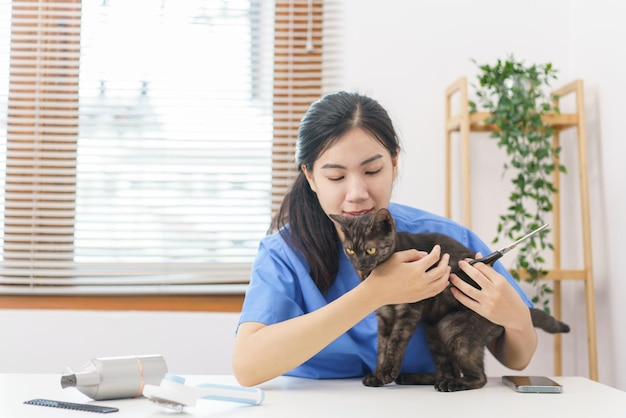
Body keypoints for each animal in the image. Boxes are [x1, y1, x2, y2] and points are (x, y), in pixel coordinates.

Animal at [330, 208, 568, 392]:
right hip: (433, 330)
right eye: (350, 250)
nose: (360, 265)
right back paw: (420, 378)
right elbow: (381, 347)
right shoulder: (384, 315)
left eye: (370, 250)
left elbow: (395, 343)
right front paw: (378, 375)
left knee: (478, 377)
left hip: (453, 328)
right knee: (447, 368)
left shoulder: (409, 309)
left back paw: (452, 384)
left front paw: (388, 372)